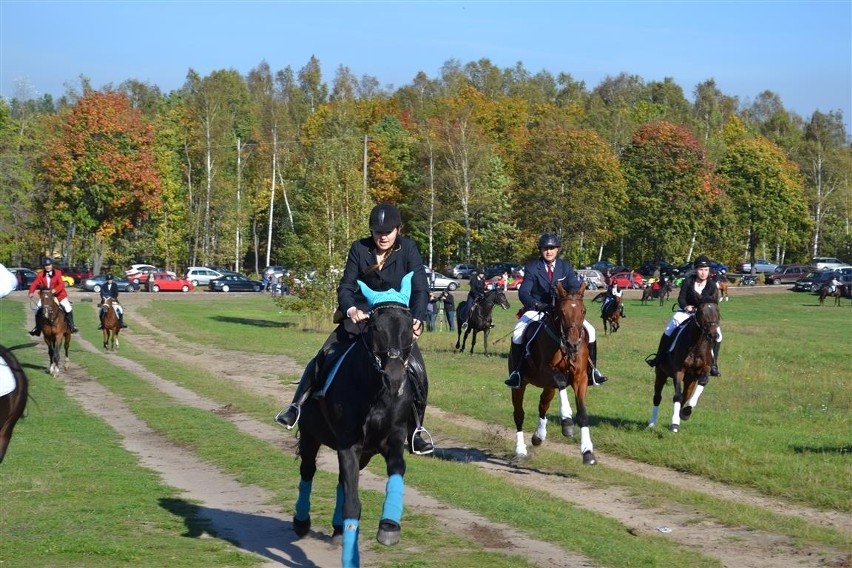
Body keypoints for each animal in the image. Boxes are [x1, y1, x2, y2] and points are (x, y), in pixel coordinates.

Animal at [292, 276, 422, 568]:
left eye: (410, 326)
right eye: (374, 326)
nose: (395, 378)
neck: (375, 392)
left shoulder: (392, 440)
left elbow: (397, 470)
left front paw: (389, 526)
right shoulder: (348, 444)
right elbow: (352, 503)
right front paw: (351, 557)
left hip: (364, 453)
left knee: (342, 480)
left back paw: (339, 529)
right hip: (310, 437)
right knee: (308, 471)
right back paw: (302, 521)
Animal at [510, 282, 596, 464]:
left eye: (583, 311)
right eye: (562, 311)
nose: (572, 344)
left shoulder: (580, 378)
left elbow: (582, 413)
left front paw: (587, 452)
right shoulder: (546, 371)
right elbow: (561, 381)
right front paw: (567, 421)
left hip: (548, 387)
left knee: (543, 404)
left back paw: (539, 435)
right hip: (520, 385)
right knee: (519, 414)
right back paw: (520, 450)